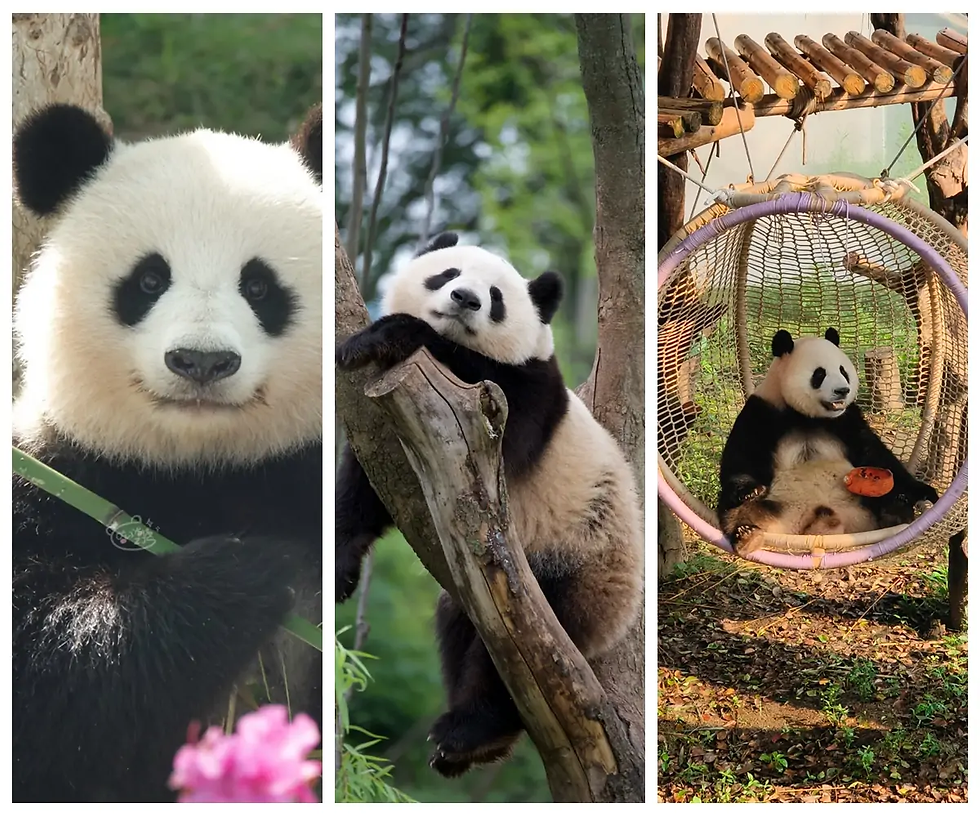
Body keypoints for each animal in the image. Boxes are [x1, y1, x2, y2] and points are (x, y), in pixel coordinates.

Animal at [11, 103, 323, 802]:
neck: (196, 466)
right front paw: (244, 573)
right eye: (149, 279)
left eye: (259, 287)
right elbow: (49, 685)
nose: (201, 362)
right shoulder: (55, 472)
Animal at [335, 232, 644, 777]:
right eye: (447, 273)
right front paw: (337, 569)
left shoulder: (520, 395)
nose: (465, 299)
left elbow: (506, 424)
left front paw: (382, 337)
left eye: (497, 297)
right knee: (460, 629)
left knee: (516, 663)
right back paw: (473, 747)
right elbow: (366, 489)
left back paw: (470, 732)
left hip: (574, 570)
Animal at [718, 327, 939, 556]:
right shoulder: (762, 411)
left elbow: (874, 453)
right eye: (819, 374)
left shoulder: (847, 419)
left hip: (860, 504)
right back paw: (746, 535)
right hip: (778, 506)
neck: (806, 416)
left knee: (887, 498)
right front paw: (749, 490)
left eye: (843, 371)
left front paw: (925, 491)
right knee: (735, 509)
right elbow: (743, 455)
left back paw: (895, 512)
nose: (842, 390)